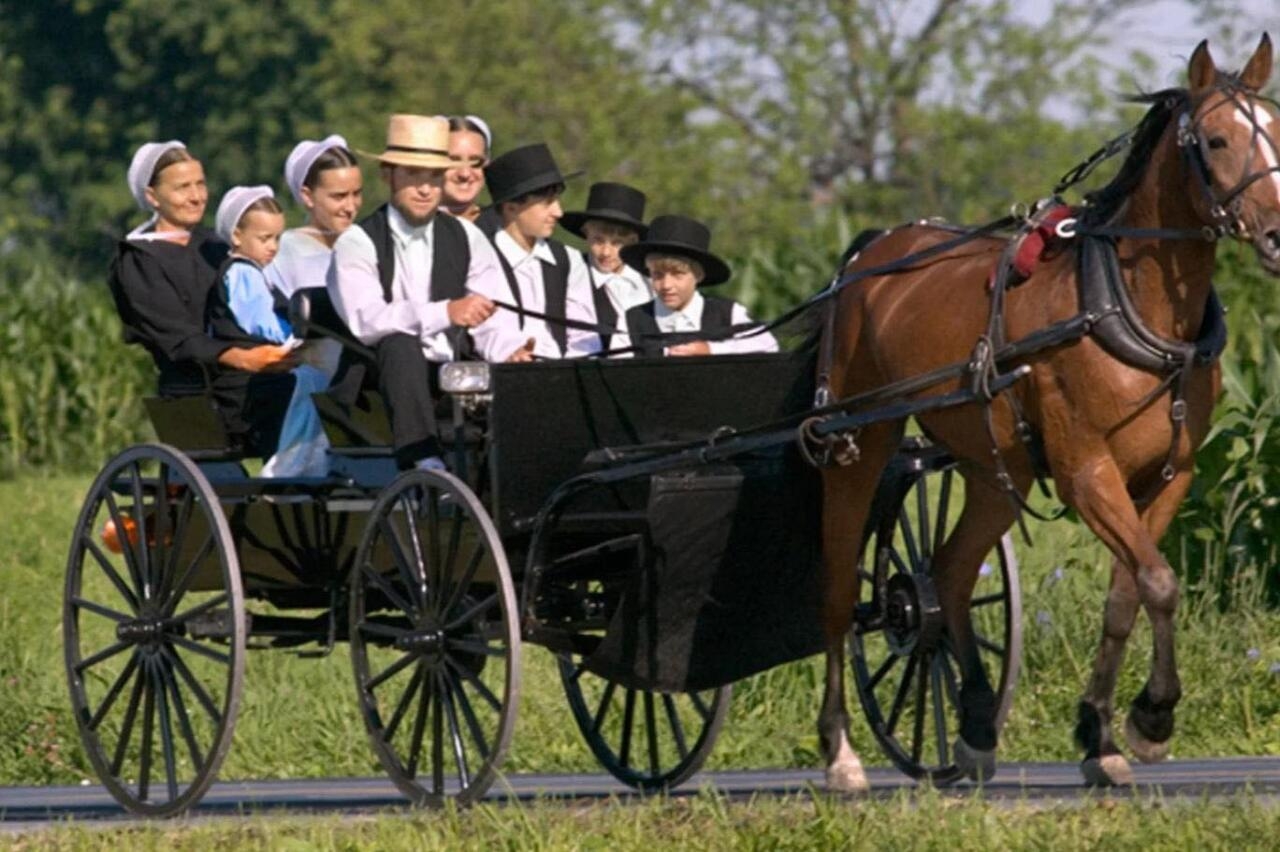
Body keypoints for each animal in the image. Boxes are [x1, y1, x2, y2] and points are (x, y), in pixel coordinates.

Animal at [819, 33, 1280, 788]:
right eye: (1216, 139)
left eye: (1274, 132)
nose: (1277, 236)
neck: (1124, 302)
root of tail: (868, 253)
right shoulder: (1086, 471)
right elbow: (1159, 581)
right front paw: (1152, 719)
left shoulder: (1169, 476)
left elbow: (1129, 592)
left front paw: (1100, 733)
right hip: (856, 444)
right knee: (835, 589)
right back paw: (840, 751)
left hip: (989, 466)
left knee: (949, 572)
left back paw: (976, 726)